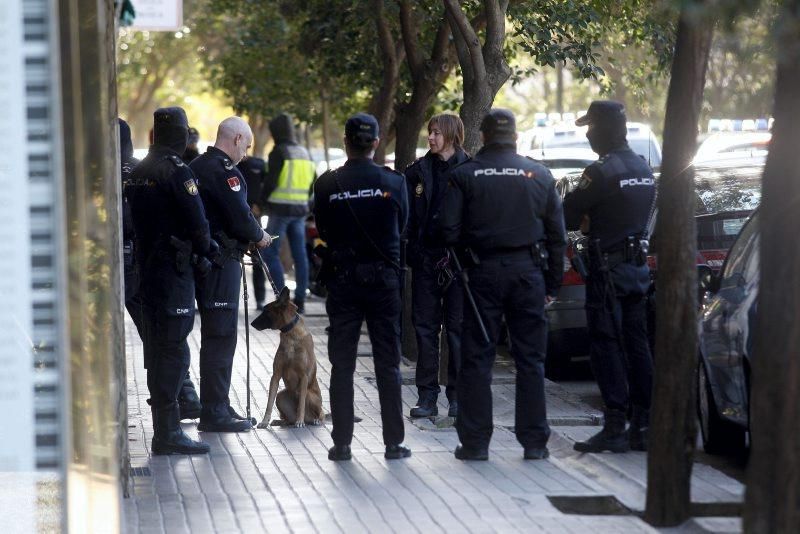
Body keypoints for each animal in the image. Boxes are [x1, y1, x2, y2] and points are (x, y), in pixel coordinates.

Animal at [252, 286, 324, 430]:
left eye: (266, 311)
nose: (251, 323)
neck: (290, 334)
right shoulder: (275, 375)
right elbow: (269, 403)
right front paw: (264, 421)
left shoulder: (304, 377)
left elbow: (301, 403)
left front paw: (299, 421)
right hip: (281, 396)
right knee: (287, 419)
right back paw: (281, 421)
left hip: (310, 395)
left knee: (320, 413)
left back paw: (313, 420)